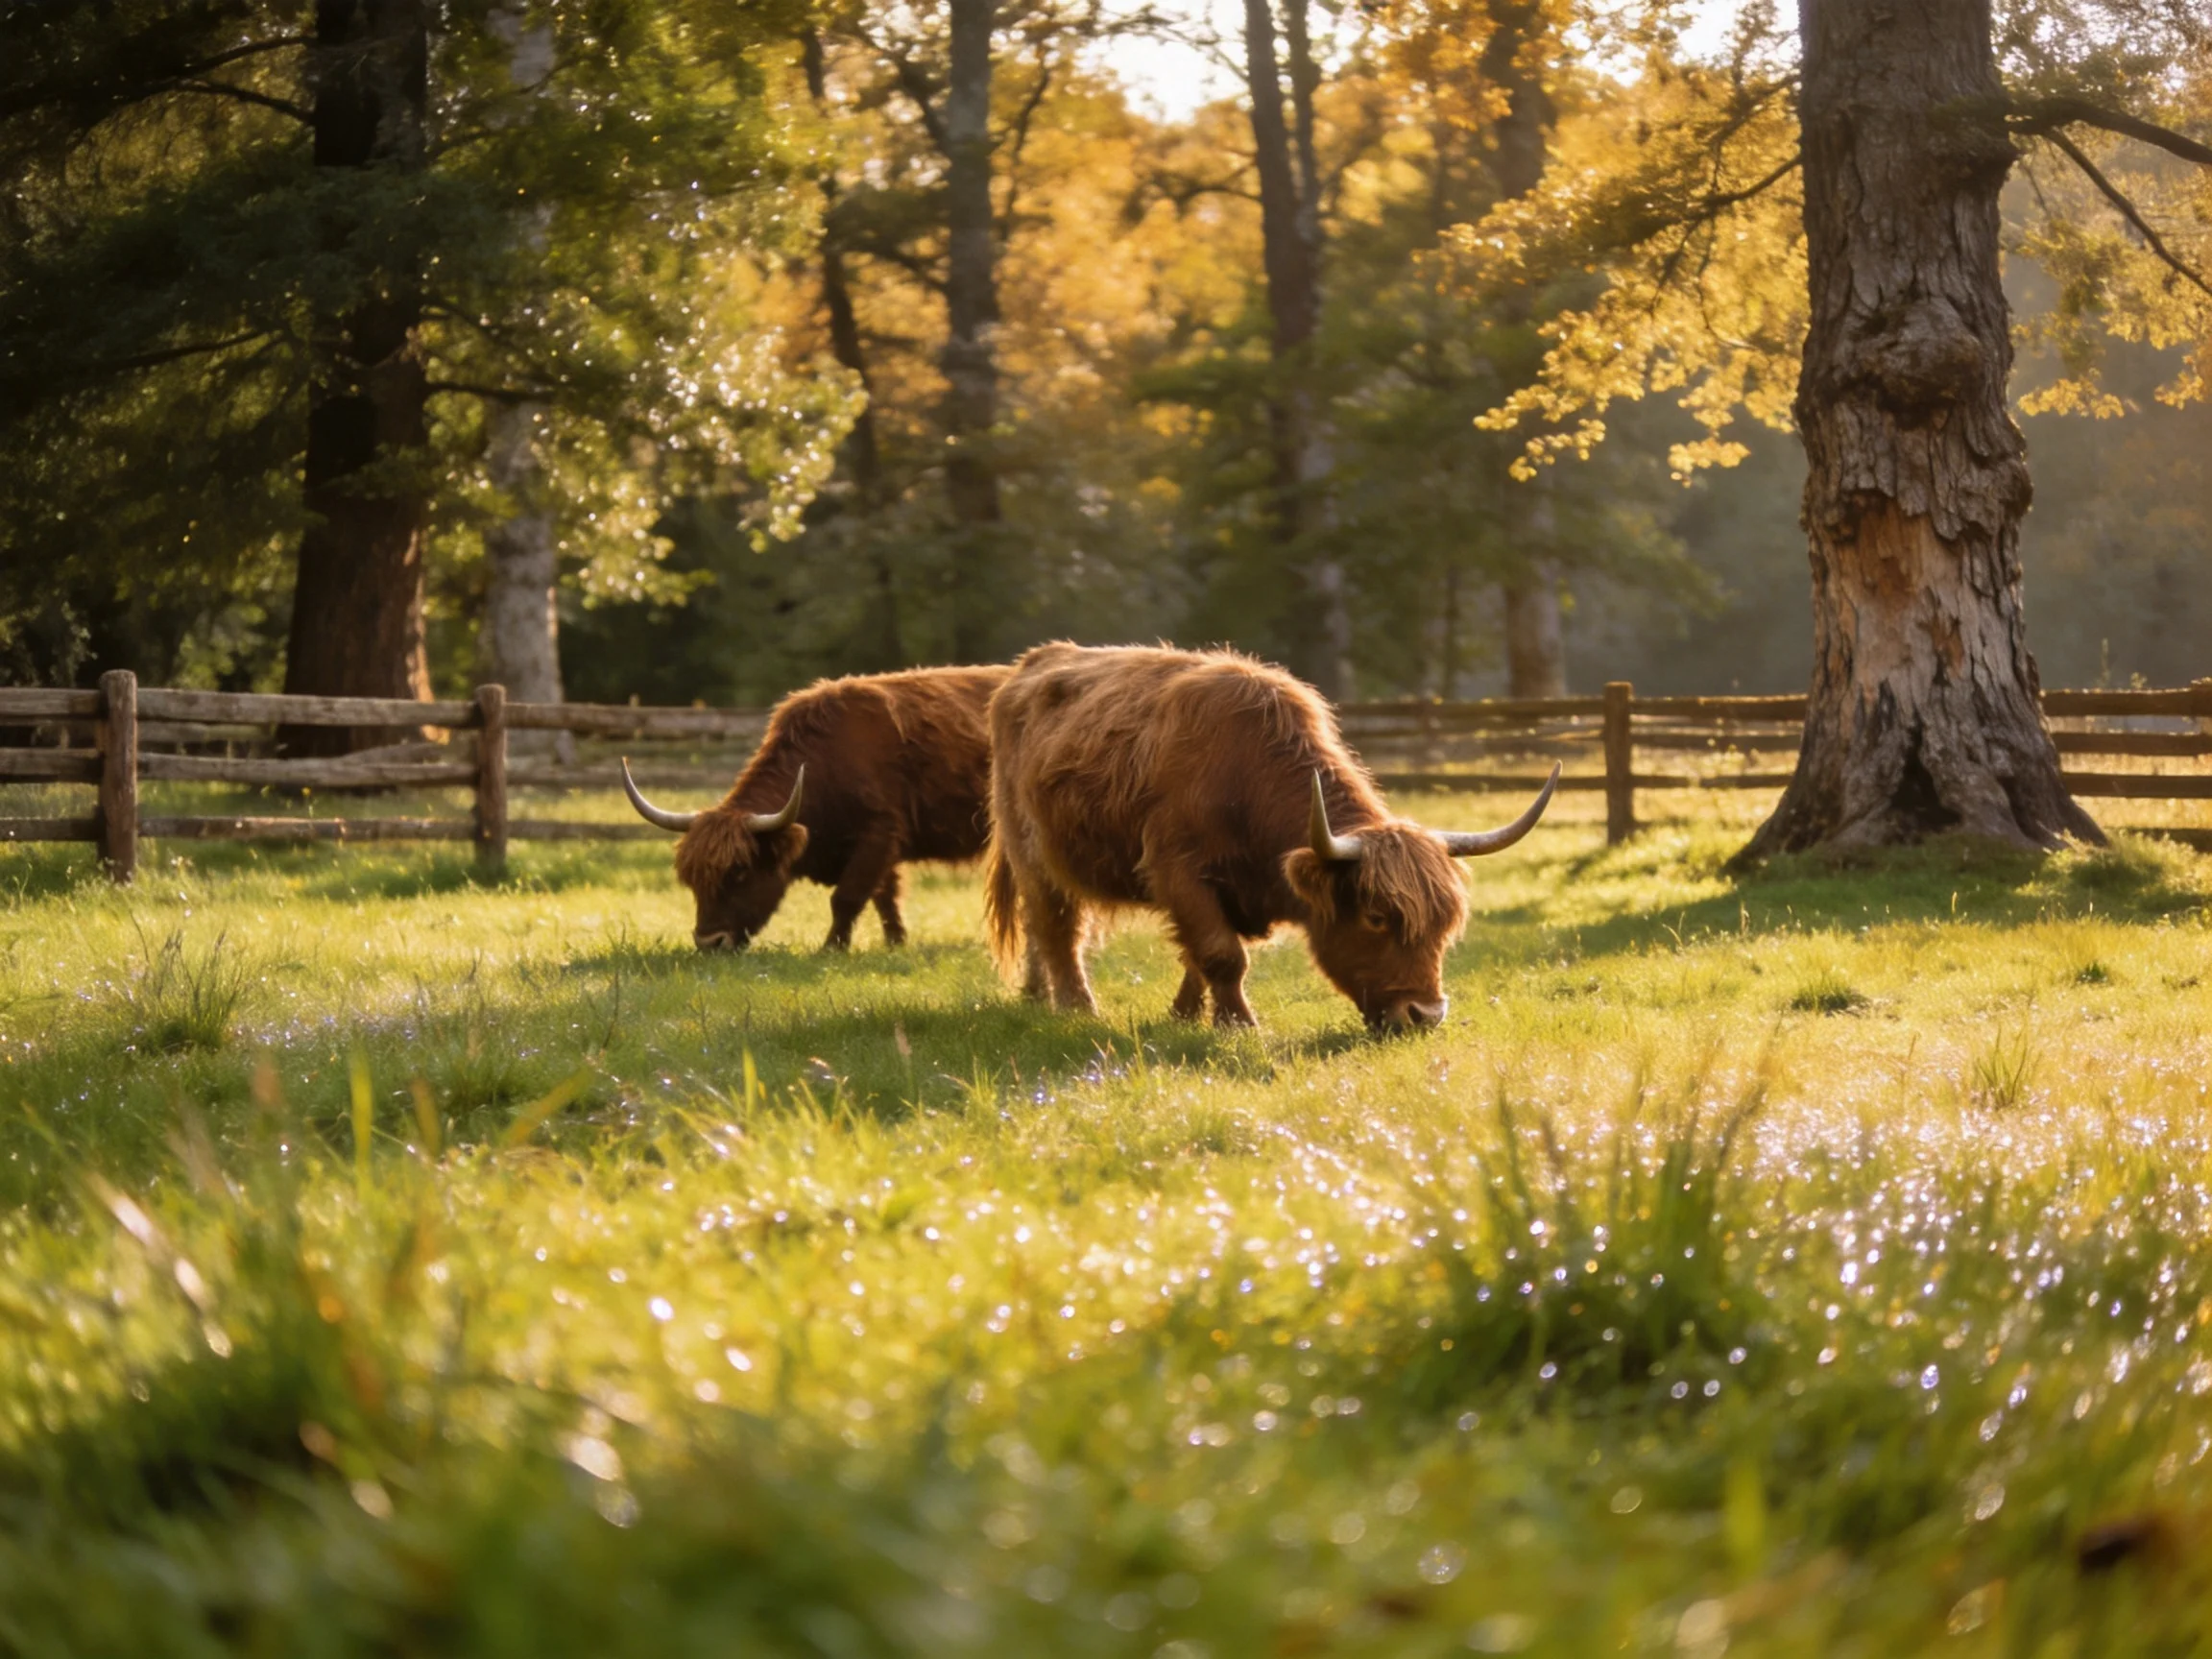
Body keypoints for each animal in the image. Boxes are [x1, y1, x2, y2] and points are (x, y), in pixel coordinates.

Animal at [622, 665, 1010, 951]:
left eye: (740, 872)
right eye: (692, 879)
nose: (708, 942)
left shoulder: (879, 834)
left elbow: (848, 897)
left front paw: (832, 948)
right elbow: (885, 897)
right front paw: (895, 943)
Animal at [984, 643, 1557, 1031]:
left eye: (1446, 925)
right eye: (1377, 918)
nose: (1426, 1014)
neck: (1245, 780)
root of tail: (1031, 663)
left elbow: (1198, 955)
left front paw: (1185, 1015)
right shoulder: (1178, 871)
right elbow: (1222, 954)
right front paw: (1239, 1025)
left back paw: (1036, 996)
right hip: (1033, 852)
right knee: (1057, 928)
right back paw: (1075, 1007)